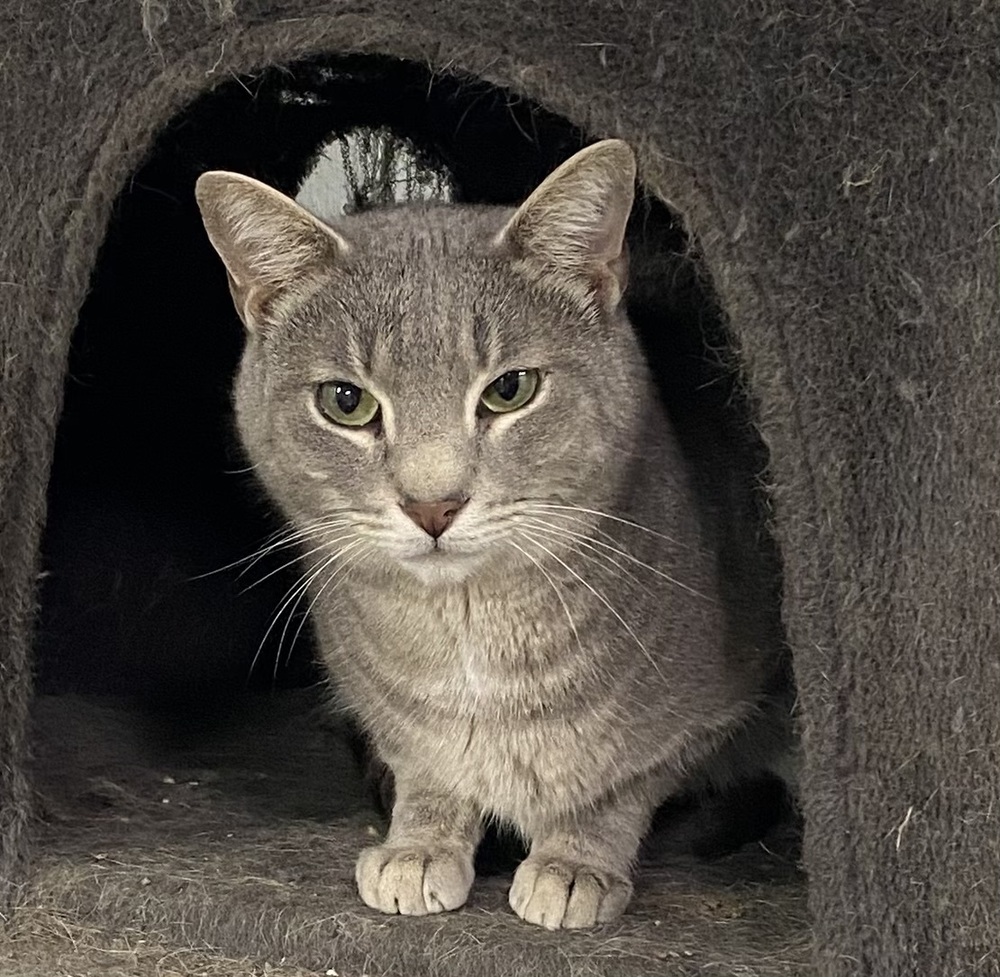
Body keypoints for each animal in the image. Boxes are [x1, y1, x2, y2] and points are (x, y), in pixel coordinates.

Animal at [193, 139, 788, 932]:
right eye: (346, 402)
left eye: (510, 389)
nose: (433, 504)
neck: (468, 635)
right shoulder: (392, 723)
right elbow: (427, 770)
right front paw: (418, 843)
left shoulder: (704, 717)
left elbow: (619, 787)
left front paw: (575, 862)